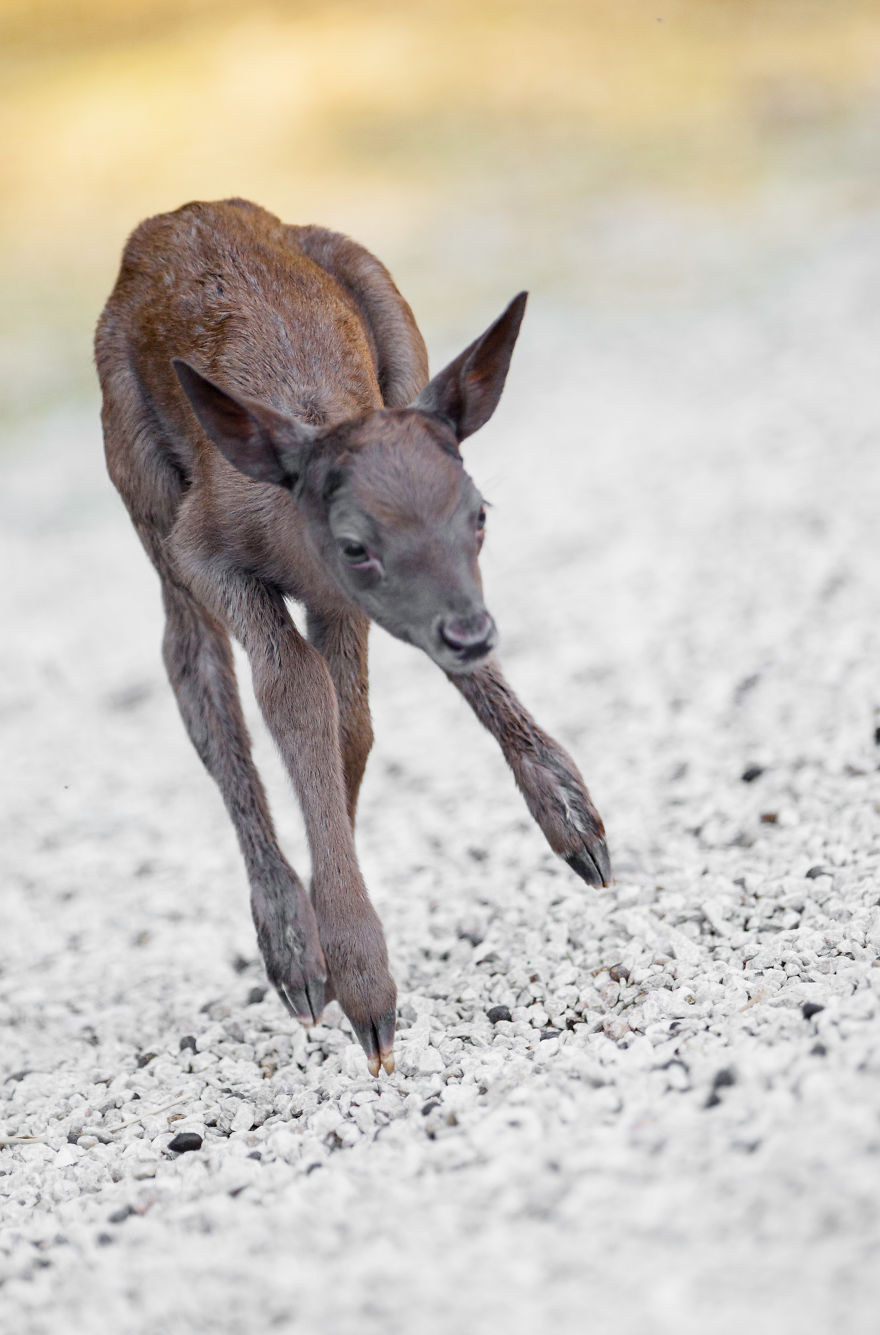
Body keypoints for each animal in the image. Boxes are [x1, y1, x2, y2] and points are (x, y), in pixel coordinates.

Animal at [95, 198, 611, 1077]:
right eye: (356, 543)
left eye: (479, 512)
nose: (472, 629)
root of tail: (176, 214)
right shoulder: (204, 549)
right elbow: (292, 693)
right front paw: (356, 979)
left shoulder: (344, 599)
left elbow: (347, 721)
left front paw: (575, 819)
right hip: (134, 466)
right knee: (195, 673)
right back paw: (291, 945)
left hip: (394, 325)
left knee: (349, 710)